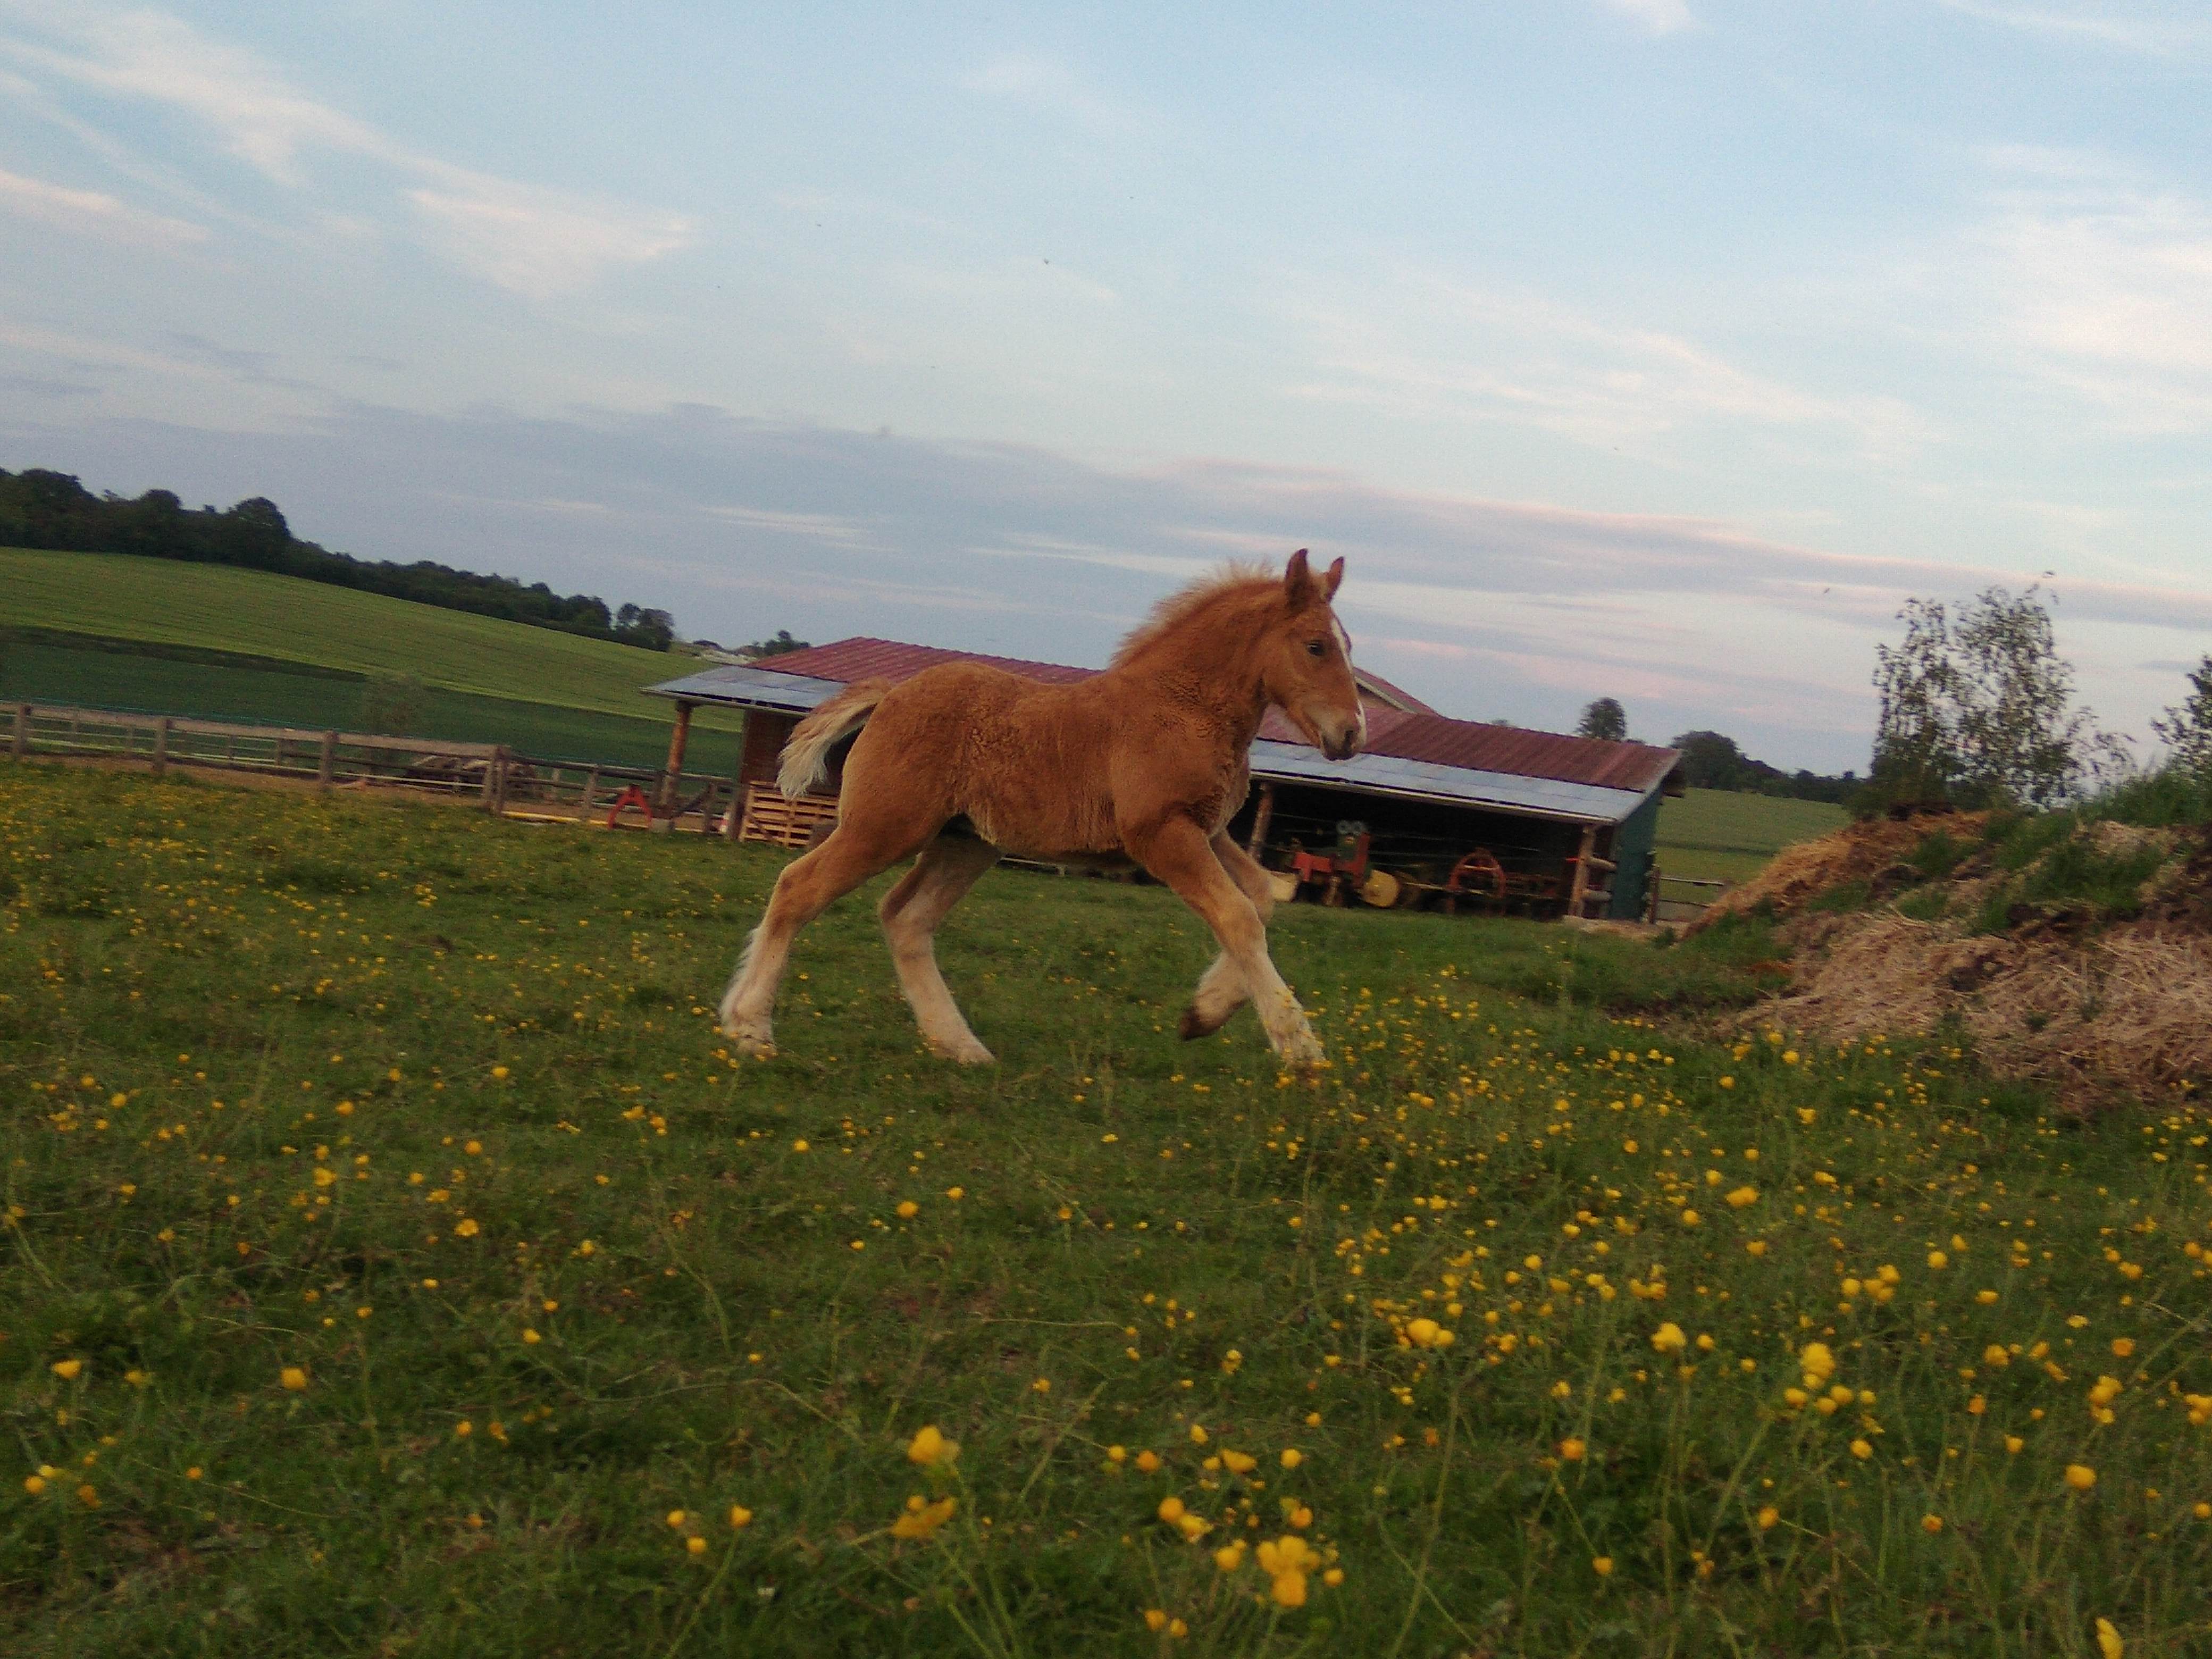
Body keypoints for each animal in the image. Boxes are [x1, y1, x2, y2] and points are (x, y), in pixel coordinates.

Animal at [716, 546, 1353, 1066]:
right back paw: (750, 1030)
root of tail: (890, 694)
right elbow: (1239, 915)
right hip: (885, 827)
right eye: (1315, 646)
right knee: (799, 887)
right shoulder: (1161, 833)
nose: (1350, 734)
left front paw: (1202, 1014)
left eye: (1347, 647)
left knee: (905, 918)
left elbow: (1260, 898)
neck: (1182, 707)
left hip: (964, 842)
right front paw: (1299, 1047)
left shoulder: (1209, 831)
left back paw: (961, 1046)